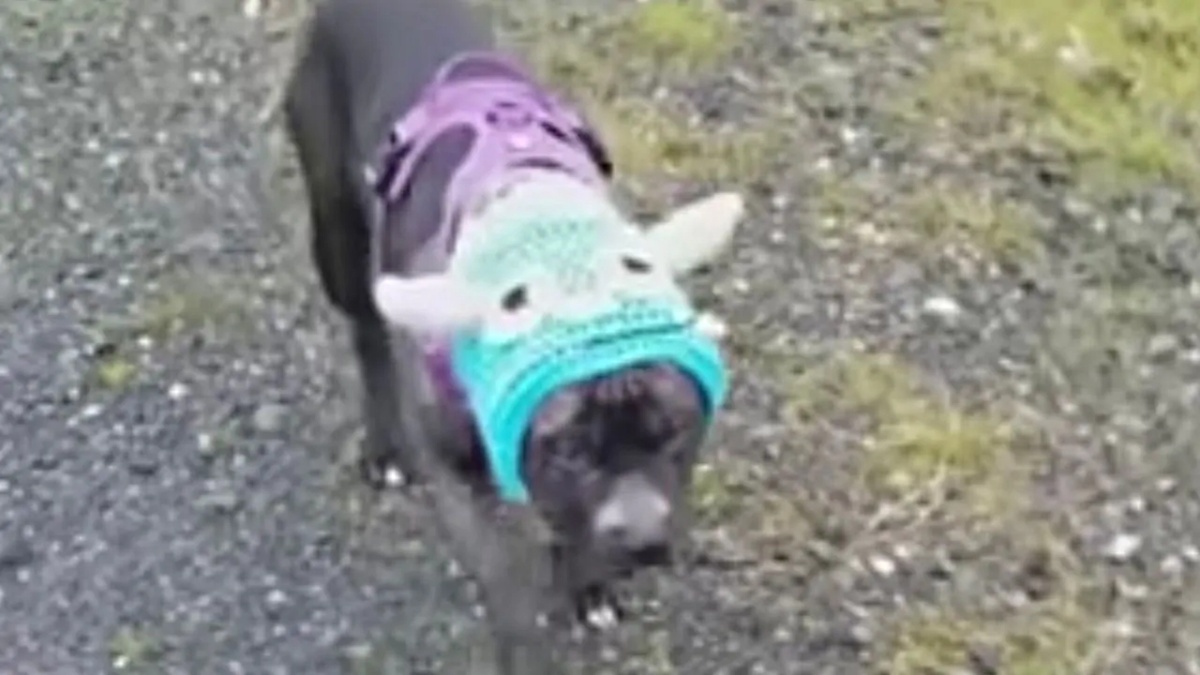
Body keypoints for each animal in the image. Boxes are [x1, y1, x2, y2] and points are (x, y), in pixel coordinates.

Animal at [285, 0, 744, 667]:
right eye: (568, 451)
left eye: (676, 430)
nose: (639, 538)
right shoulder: (466, 489)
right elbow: (507, 587)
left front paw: (588, 587)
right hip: (338, 236)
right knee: (368, 337)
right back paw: (384, 448)